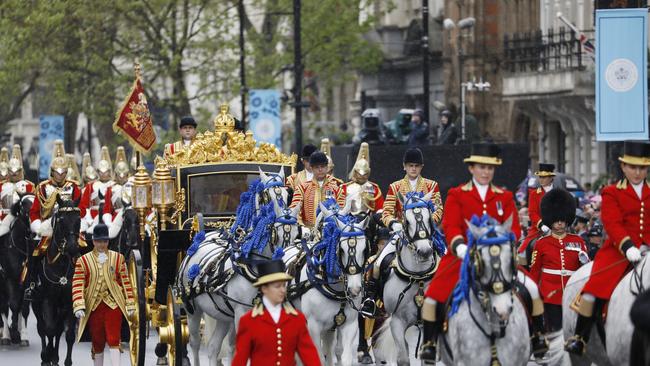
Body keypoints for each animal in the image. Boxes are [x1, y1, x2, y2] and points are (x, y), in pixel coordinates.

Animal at [296, 206, 368, 366]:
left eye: (365, 249)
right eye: (341, 250)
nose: (355, 290)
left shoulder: (349, 325)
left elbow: (344, 357)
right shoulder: (313, 327)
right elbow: (318, 357)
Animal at [372, 192, 442, 366]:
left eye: (429, 218)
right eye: (407, 221)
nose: (424, 252)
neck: (418, 277)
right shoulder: (396, 322)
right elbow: (403, 358)